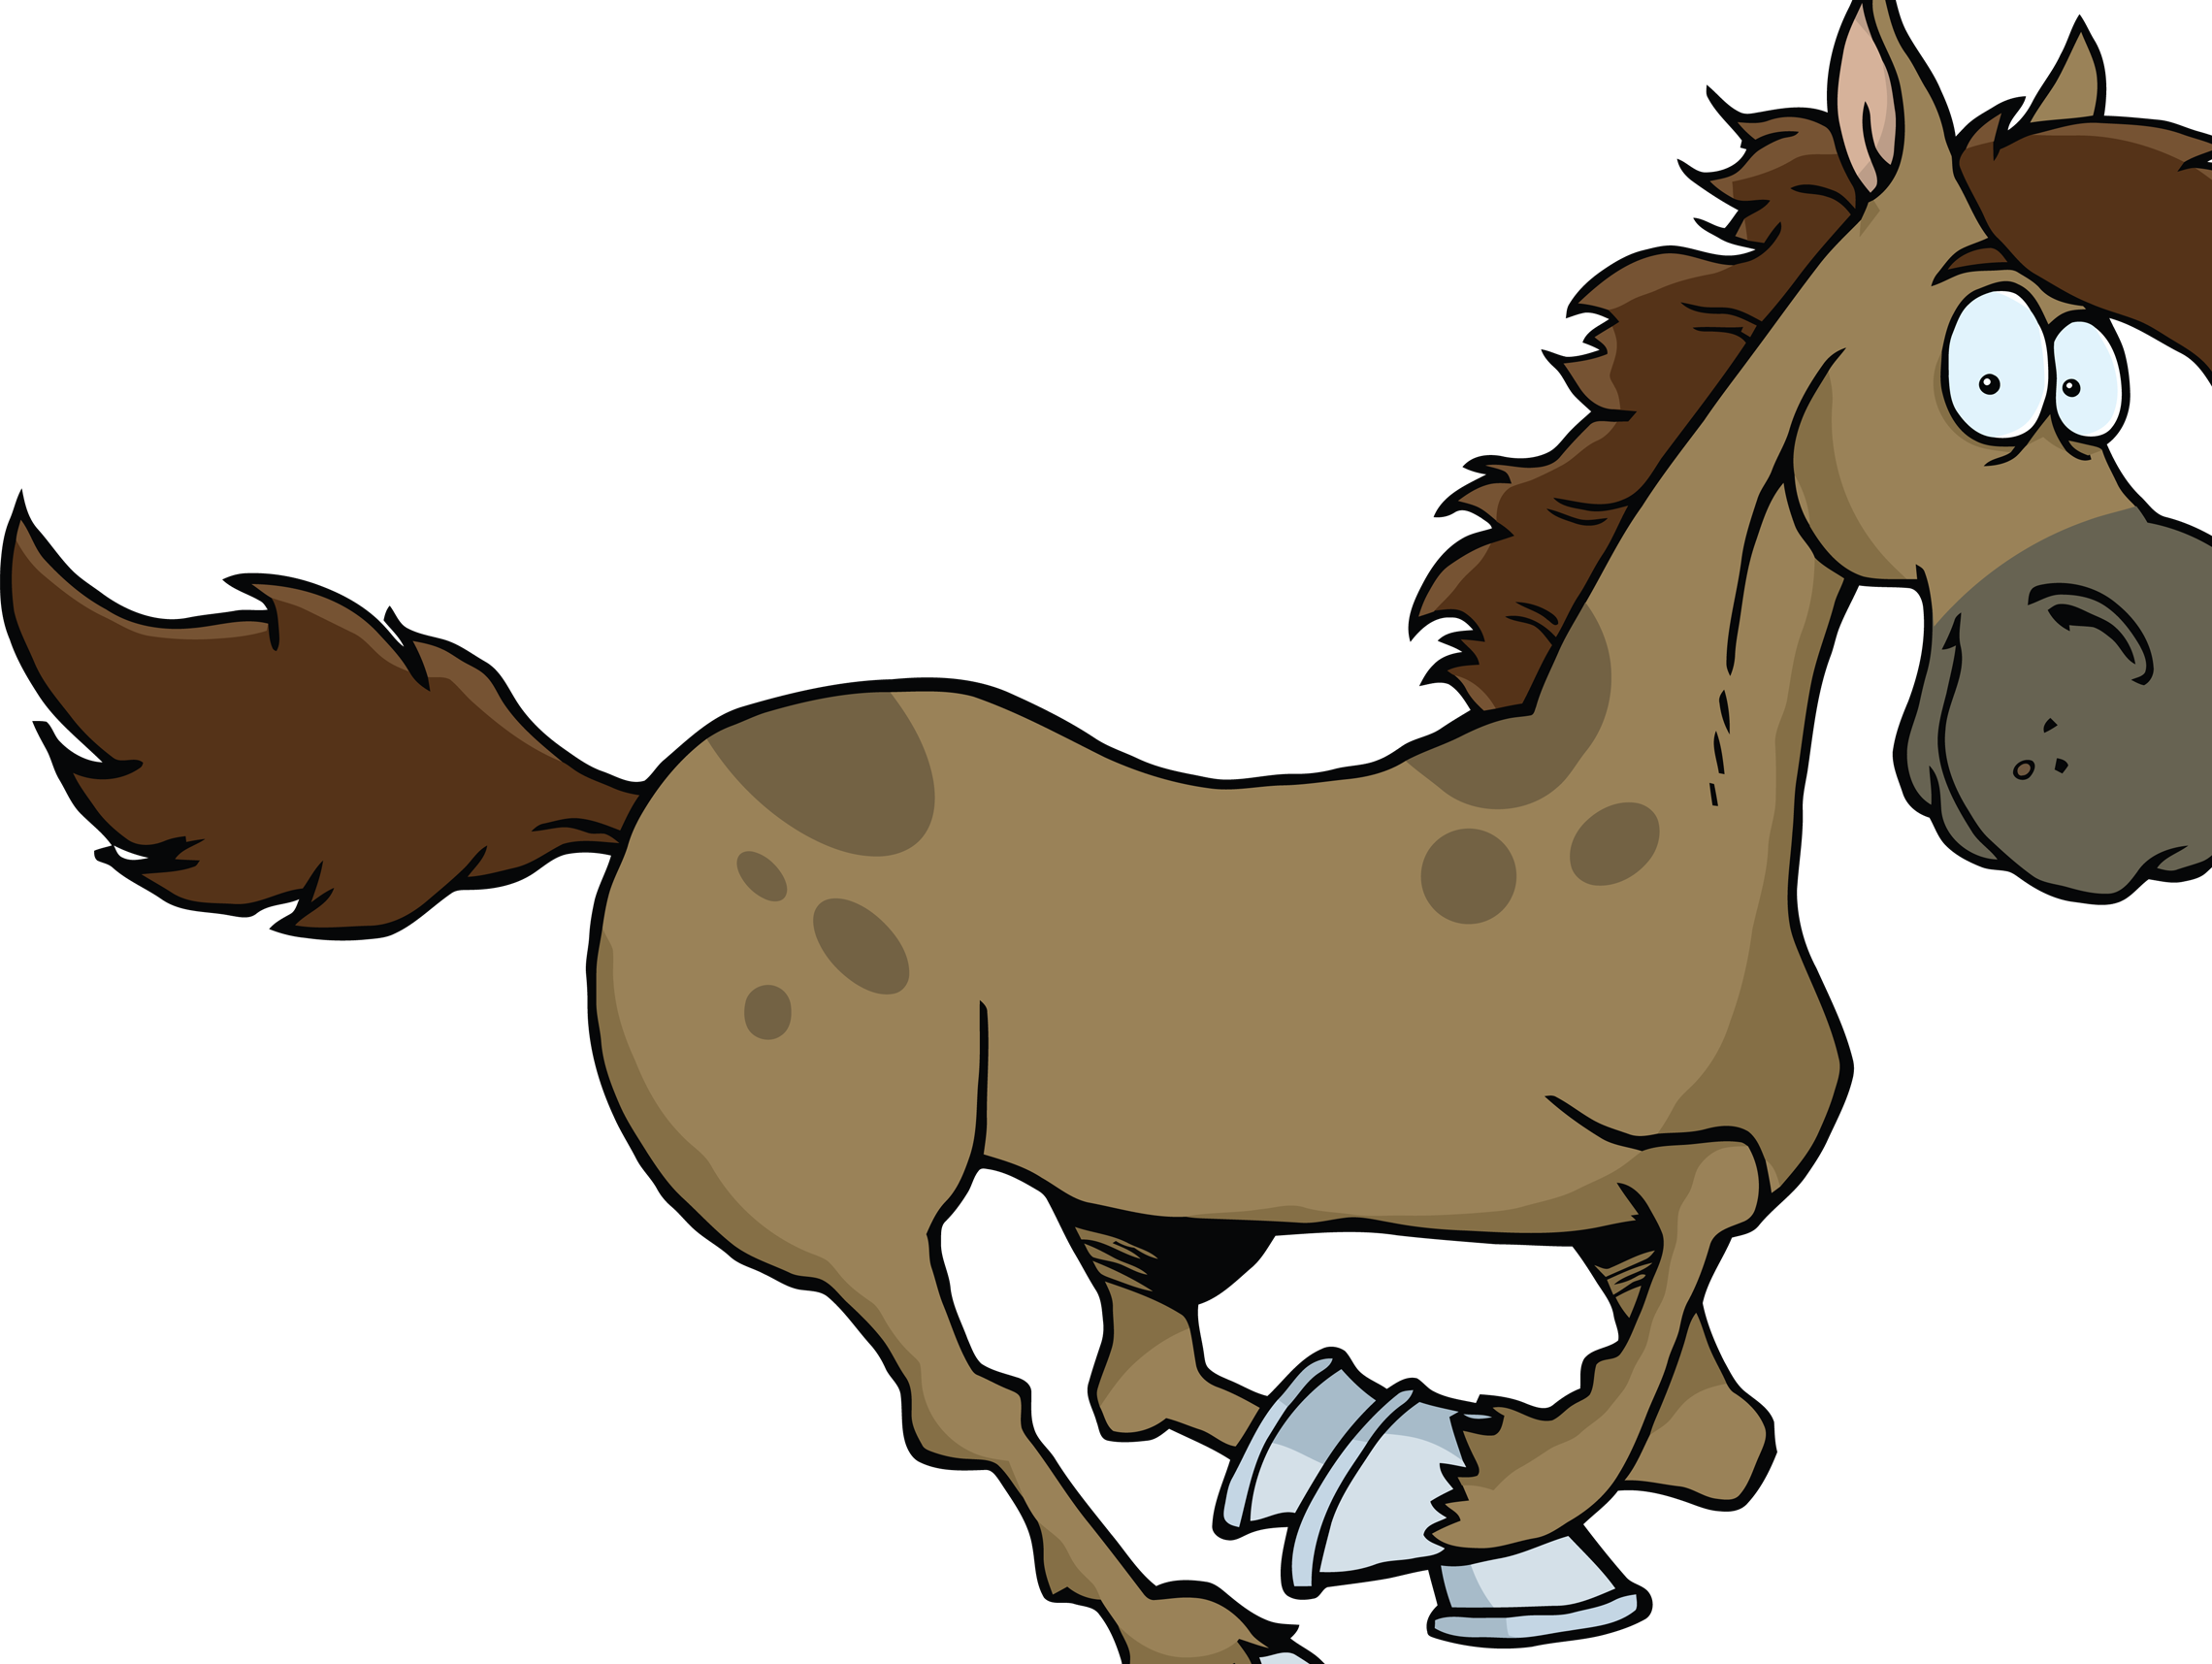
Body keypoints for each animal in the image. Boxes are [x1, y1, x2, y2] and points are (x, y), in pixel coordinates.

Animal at [10, 4, 2207, 1658]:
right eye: (1994, 369)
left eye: (2094, 379)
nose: (2132, 748)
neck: (1651, 845)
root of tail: (641, 798)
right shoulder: (1523, 1160)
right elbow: (1696, 1233)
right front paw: (1496, 1491)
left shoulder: (1590, 1212)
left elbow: (1713, 1391)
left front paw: (1486, 1464)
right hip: (860, 1190)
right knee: (971, 1392)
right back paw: (1188, 1617)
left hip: (1137, 1179)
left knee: (1138, 1374)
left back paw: (1329, 1449)